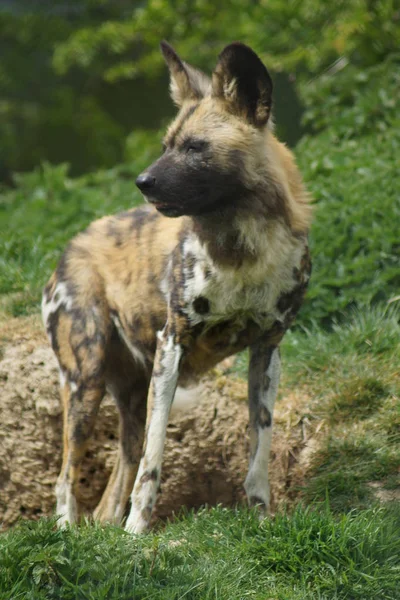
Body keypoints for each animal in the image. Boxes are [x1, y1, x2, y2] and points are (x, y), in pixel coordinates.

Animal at [43, 39, 312, 532]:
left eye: (195, 147)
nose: (142, 182)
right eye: (166, 145)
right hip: (84, 384)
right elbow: (154, 461)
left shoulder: (267, 350)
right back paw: (67, 534)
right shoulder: (172, 344)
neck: (243, 248)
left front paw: (261, 520)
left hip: (127, 395)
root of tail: (72, 244)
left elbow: (258, 455)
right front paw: (137, 534)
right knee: (66, 476)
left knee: (116, 479)